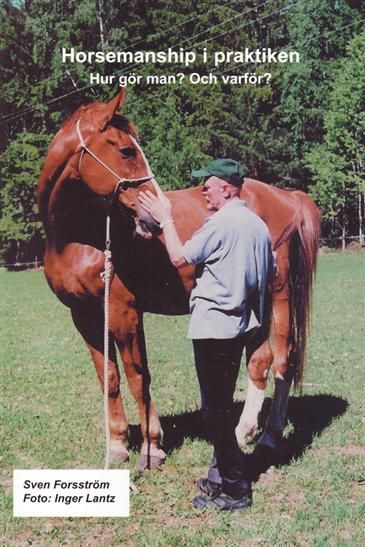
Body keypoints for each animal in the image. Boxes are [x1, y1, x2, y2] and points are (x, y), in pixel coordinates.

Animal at [37, 88, 318, 468]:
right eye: (126, 151)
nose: (155, 217)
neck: (77, 240)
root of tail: (289, 197)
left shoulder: (124, 313)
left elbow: (138, 376)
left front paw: (152, 447)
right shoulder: (86, 316)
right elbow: (109, 378)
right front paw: (117, 445)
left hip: (278, 296)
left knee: (283, 362)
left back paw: (265, 436)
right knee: (261, 361)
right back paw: (245, 431)